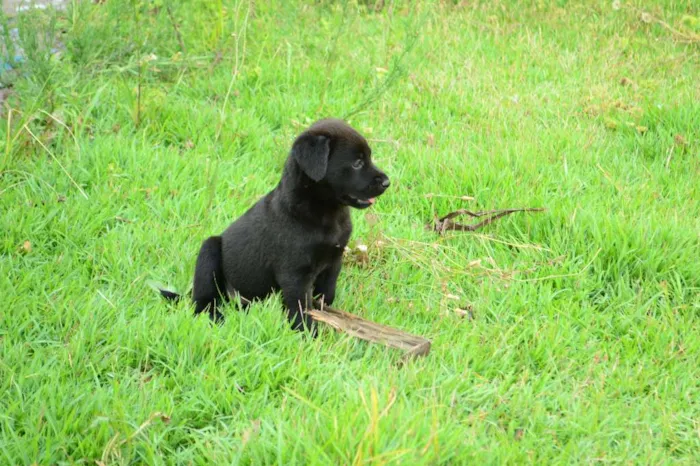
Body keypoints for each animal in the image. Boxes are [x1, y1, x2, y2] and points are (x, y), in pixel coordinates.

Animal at [162, 120, 392, 332]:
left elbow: (326, 295)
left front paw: (329, 318)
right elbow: (300, 307)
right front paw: (308, 334)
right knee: (203, 301)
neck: (324, 214)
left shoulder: (333, 261)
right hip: (209, 251)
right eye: (357, 163)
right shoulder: (295, 274)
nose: (387, 182)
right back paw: (215, 318)